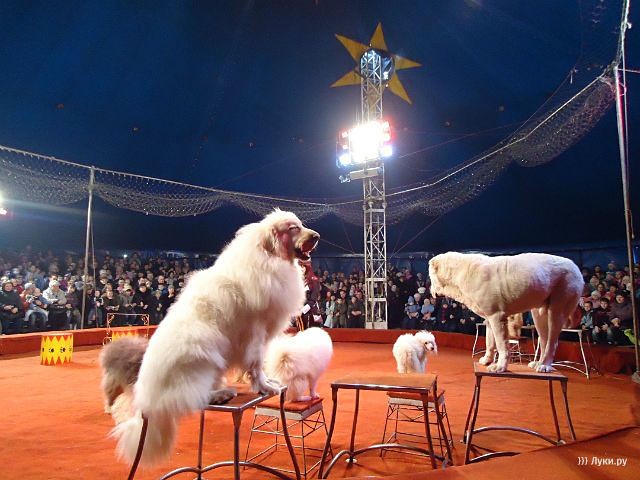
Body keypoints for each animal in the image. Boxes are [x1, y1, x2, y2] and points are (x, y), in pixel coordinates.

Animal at [111, 210, 319, 467]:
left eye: (301, 224)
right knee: (192, 398)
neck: (267, 257)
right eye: (293, 228)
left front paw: (265, 382)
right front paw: (265, 387)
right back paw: (220, 394)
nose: (317, 236)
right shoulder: (256, 331)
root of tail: (148, 402)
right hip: (204, 352)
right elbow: (256, 363)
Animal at [429, 252, 582, 373]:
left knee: (552, 342)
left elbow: (501, 344)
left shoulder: (496, 317)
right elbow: (489, 342)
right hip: (539, 314)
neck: (460, 272)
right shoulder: (489, 318)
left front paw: (500, 366)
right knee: (544, 339)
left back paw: (545, 365)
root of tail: (575, 266)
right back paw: (539, 363)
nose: (430, 290)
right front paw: (487, 360)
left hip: (557, 309)